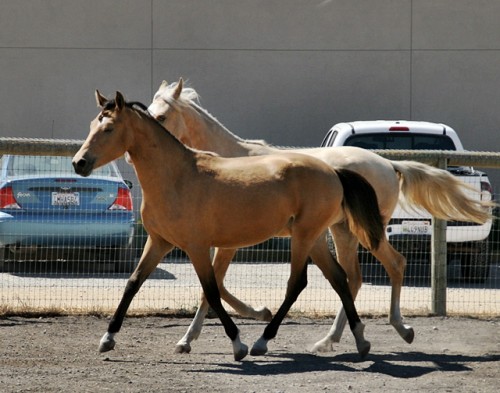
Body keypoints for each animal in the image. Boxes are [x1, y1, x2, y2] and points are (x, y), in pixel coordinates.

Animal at [71, 89, 386, 358]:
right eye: (92, 124)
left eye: (109, 128)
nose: (79, 163)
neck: (176, 177)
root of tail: (333, 171)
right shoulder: (159, 242)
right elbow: (133, 283)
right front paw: (107, 339)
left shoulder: (197, 247)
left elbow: (211, 290)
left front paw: (236, 344)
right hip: (316, 238)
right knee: (340, 278)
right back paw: (360, 340)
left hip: (304, 237)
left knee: (298, 283)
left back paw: (262, 341)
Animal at [147, 79, 492, 352]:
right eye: (148, 112)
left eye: (162, 115)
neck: (230, 163)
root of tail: (389, 165)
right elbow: (215, 286)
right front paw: (257, 313)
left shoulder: (228, 242)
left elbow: (213, 287)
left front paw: (190, 339)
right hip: (341, 231)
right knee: (353, 277)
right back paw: (331, 339)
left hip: (363, 230)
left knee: (392, 264)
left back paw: (399, 328)